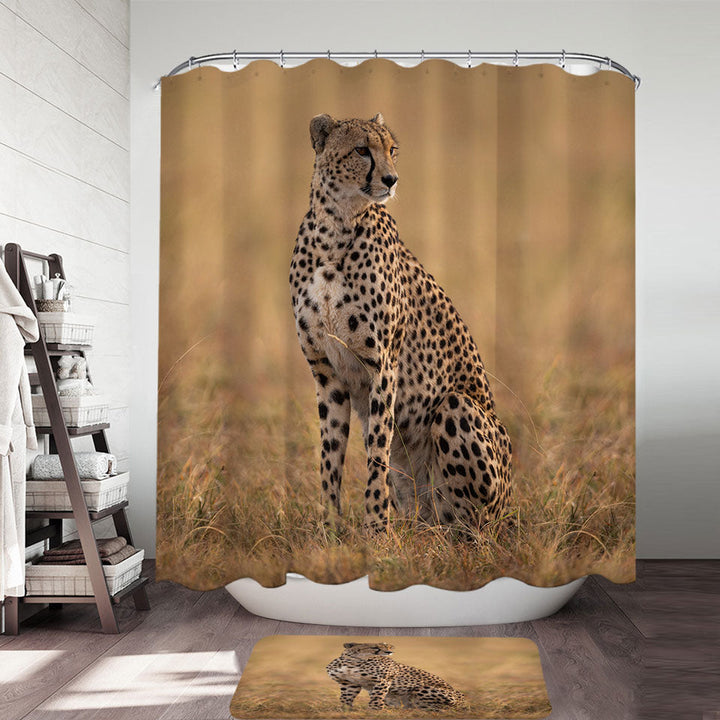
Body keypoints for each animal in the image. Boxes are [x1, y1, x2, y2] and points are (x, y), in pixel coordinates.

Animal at [289, 112, 512, 531]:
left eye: (391, 149)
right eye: (362, 150)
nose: (391, 179)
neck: (335, 227)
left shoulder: (383, 365)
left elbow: (377, 452)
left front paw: (376, 526)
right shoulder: (326, 374)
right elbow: (330, 456)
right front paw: (329, 527)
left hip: (457, 407)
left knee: (470, 523)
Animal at [326, 642, 465, 710]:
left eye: (389, 647)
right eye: (375, 647)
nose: (389, 652)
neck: (352, 661)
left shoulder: (384, 679)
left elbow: (377, 695)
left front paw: (375, 709)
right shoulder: (349, 683)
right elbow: (346, 697)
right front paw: (345, 708)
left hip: (423, 689)